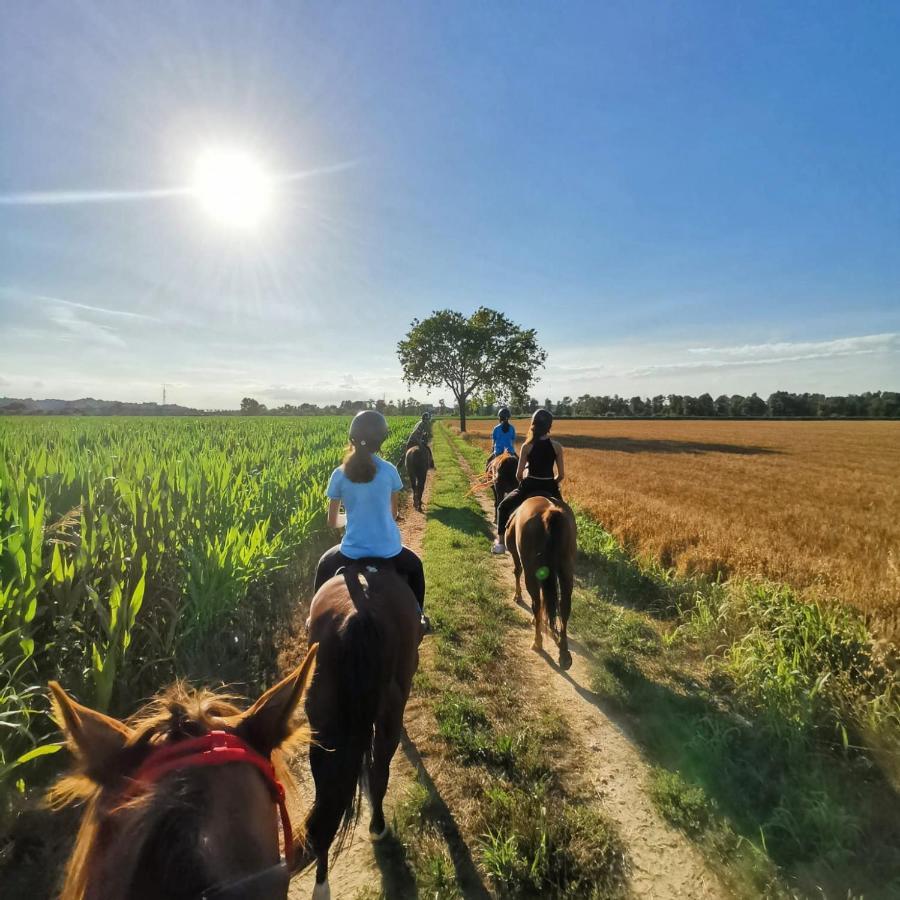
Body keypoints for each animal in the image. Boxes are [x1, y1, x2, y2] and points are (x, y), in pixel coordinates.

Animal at [298, 568, 420, 896]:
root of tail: (359, 613)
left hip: (323, 726)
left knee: (327, 801)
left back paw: (321, 886)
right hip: (388, 714)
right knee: (379, 772)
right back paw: (378, 827)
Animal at [506, 500, 576, 668]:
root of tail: (550, 513)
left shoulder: (516, 555)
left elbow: (516, 571)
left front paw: (517, 596)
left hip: (531, 571)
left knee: (536, 603)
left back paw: (537, 642)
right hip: (566, 571)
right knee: (564, 606)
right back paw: (564, 653)